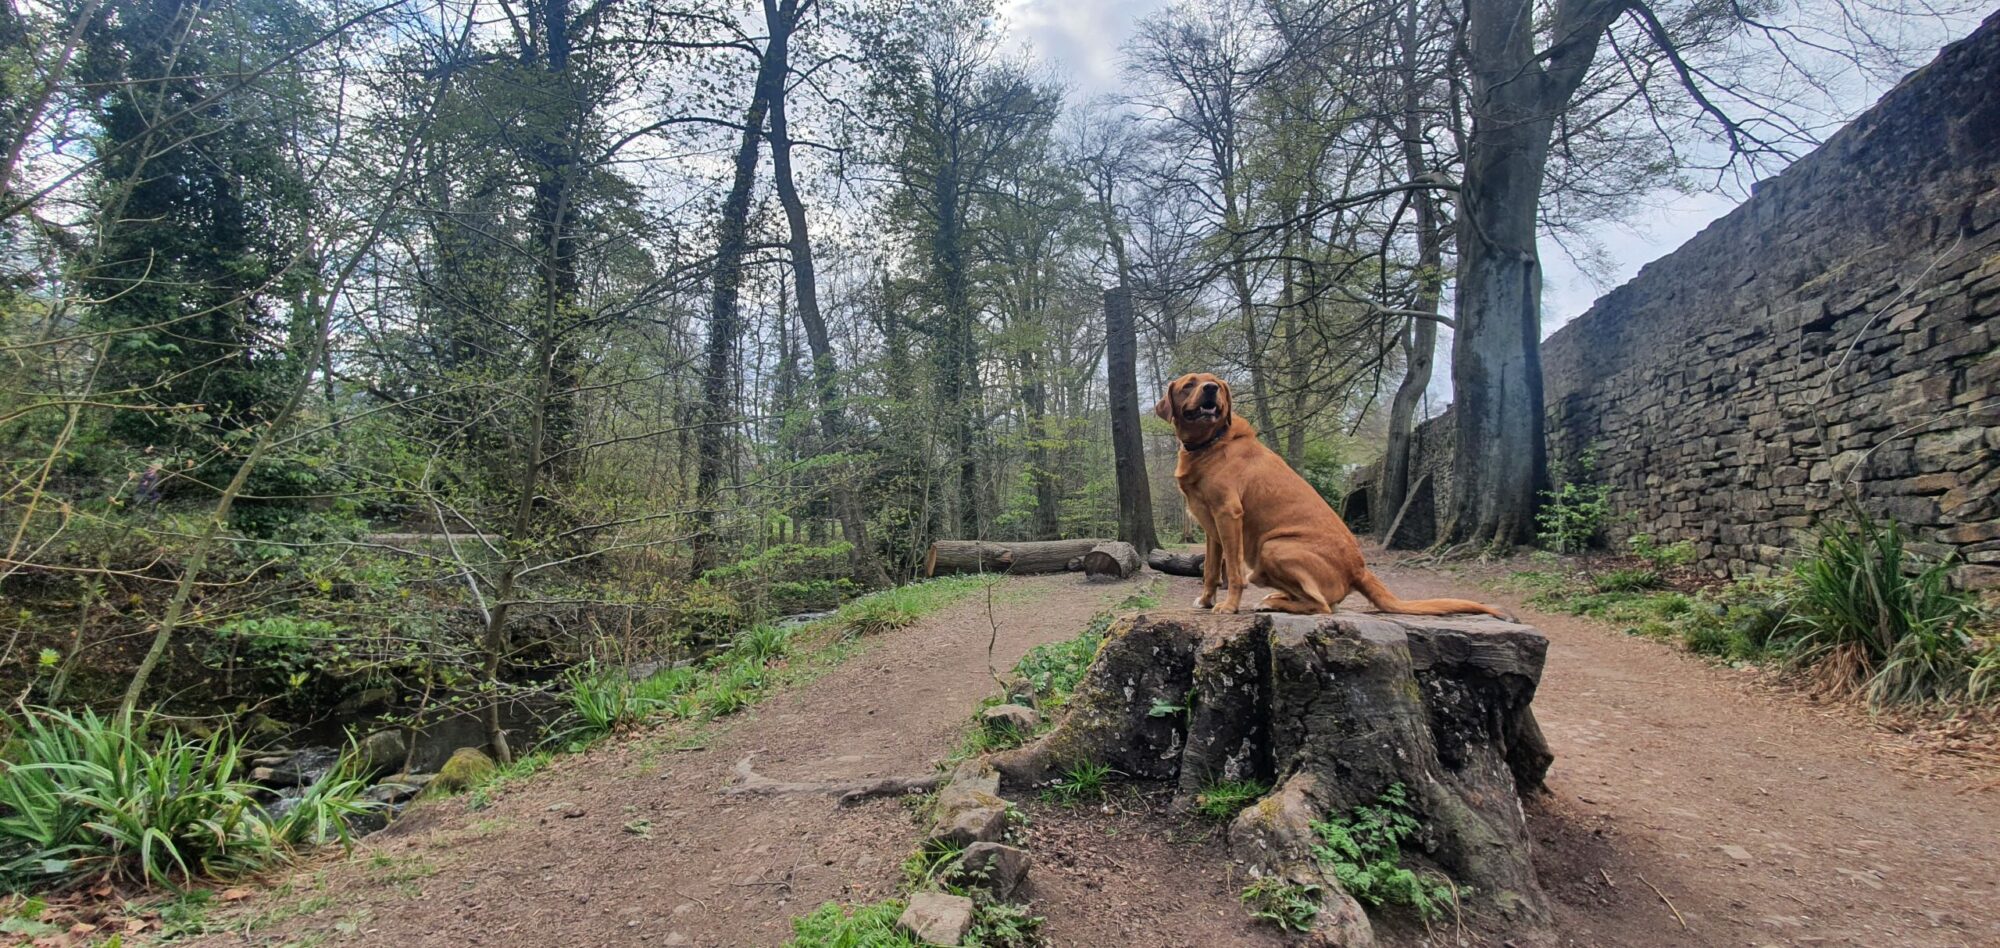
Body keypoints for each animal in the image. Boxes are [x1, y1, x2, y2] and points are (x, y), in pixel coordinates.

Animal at [1160, 374, 1504, 620]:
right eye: (1189, 383)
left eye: (1216, 384)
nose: (1209, 390)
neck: (1210, 444)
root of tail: (1359, 569)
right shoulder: (1211, 527)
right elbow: (1209, 570)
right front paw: (1206, 600)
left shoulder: (1228, 515)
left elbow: (1230, 572)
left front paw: (1229, 606)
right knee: (1325, 604)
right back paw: (1276, 599)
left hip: (1272, 547)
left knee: (1322, 606)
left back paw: (1274, 603)